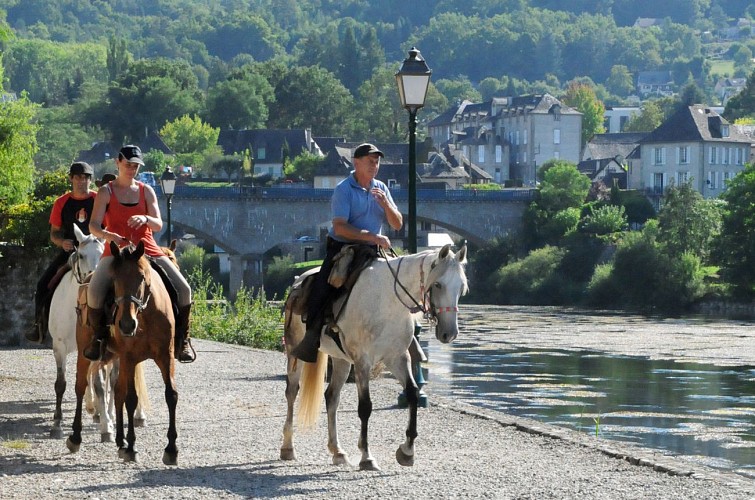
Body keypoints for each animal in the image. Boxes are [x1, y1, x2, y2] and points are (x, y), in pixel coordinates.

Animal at [67, 241, 180, 464]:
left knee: (116, 391)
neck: (146, 318)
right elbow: (131, 398)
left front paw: (171, 449)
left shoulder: (165, 356)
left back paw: (120, 440)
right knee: (81, 386)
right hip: (87, 353)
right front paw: (132, 447)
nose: (127, 324)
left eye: (143, 277)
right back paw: (75, 437)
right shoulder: (130, 358)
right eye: (115, 280)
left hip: (116, 357)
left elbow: (170, 395)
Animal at [278, 244, 466, 470]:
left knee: (332, 397)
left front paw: (407, 451)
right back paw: (288, 447)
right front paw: (367, 456)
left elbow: (412, 394)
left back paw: (337, 451)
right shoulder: (362, 361)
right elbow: (365, 407)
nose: (449, 333)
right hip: (294, 352)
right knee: (292, 392)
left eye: (462, 287)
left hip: (341, 360)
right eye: (437, 284)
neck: (389, 301)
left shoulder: (397, 358)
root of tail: (299, 278)